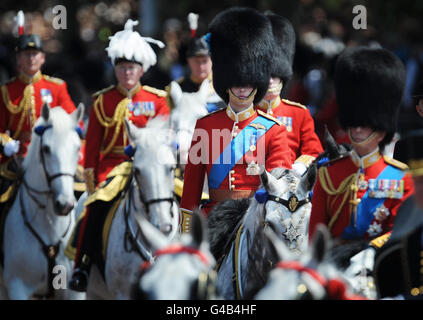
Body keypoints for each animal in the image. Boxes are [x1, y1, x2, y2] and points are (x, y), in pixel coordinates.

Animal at [0, 103, 85, 300]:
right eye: (46, 148)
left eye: (77, 148)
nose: (65, 205)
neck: (50, 226)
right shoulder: (18, 286)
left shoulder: (74, 291)